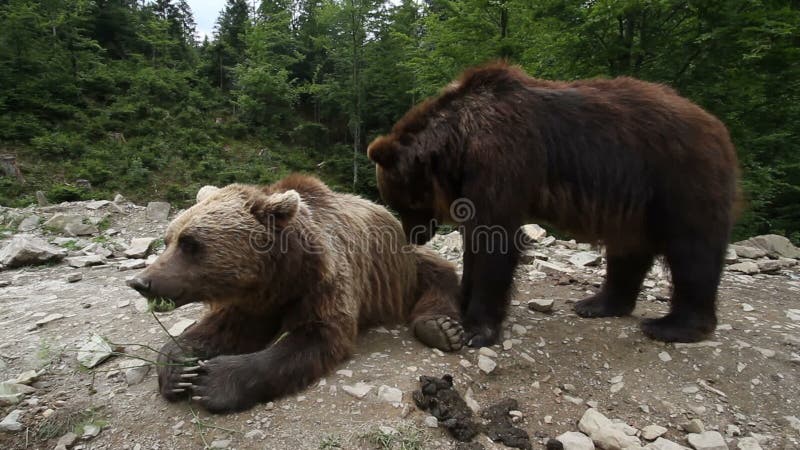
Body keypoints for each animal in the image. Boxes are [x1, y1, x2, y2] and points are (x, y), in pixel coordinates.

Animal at [125, 174, 462, 414]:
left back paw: (441, 329)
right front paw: (180, 369)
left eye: (191, 243)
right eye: (168, 239)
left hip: (403, 266)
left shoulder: (323, 284)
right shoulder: (252, 302)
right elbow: (220, 329)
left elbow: (315, 337)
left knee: (440, 273)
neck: (278, 278)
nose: (142, 282)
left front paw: (214, 381)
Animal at [368, 61, 736, 346]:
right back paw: (597, 304)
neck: (459, 145)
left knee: (692, 251)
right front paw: (461, 299)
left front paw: (477, 328)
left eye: (405, 203)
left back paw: (673, 326)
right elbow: (475, 241)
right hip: (634, 201)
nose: (414, 235)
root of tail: (716, 124)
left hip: (680, 178)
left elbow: (494, 241)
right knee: (628, 249)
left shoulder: (503, 159)